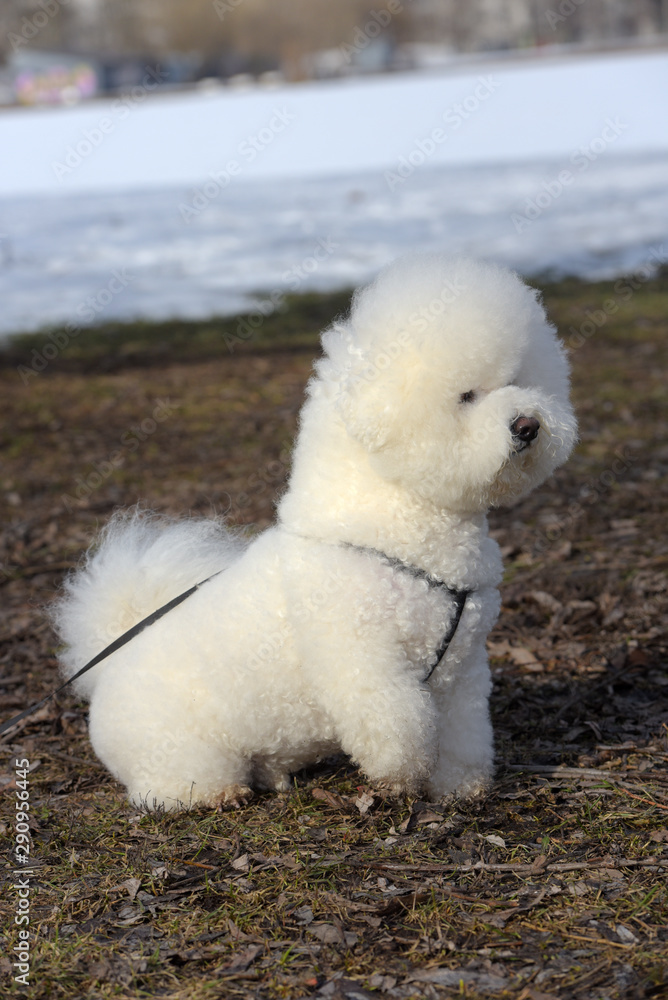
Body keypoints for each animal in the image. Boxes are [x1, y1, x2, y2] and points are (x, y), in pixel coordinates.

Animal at [52, 254, 576, 808]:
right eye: (466, 396)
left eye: (519, 379)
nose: (528, 425)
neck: (396, 531)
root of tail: (108, 669)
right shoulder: (365, 664)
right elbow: (401, 729)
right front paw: (400, 780)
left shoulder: (463, 671)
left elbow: (464, 734)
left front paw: (461, 787)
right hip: (180, 749)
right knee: (174, 785)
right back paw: (223, 793)